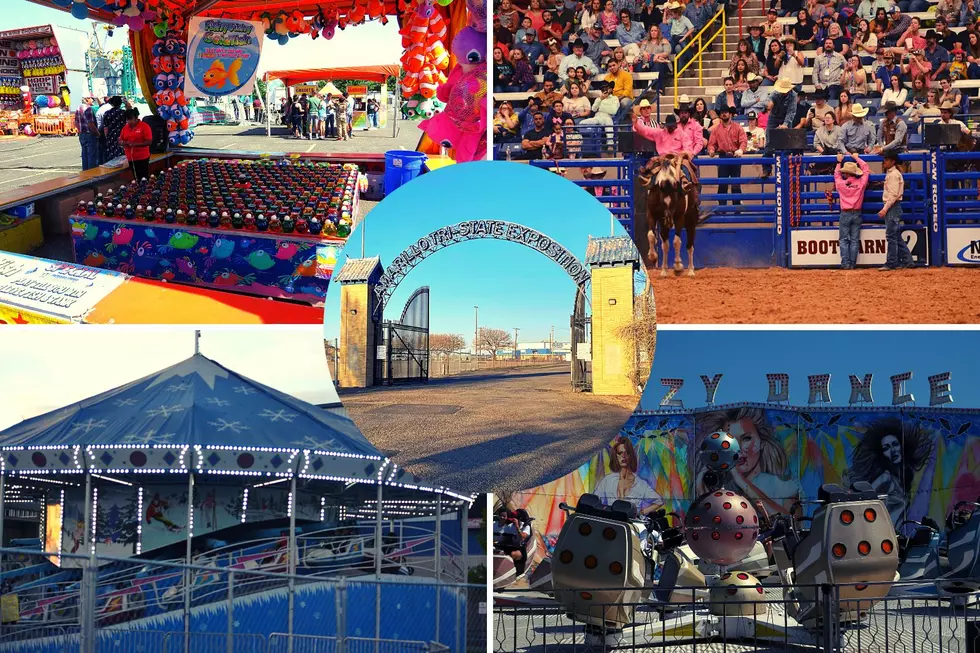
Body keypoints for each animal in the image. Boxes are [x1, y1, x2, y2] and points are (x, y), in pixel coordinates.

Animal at [632, 153, 700, 292]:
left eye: (675, 197)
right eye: (662, 196)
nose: (668, 219)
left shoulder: (679, 217)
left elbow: (677, 241)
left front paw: (678, 266)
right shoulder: (651, 215)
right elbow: (651, 235)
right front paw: (652, 255)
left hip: (690, 222)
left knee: (690, 245)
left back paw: (690, 271)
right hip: (664, 225)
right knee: (665, 245)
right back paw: (663, 270)